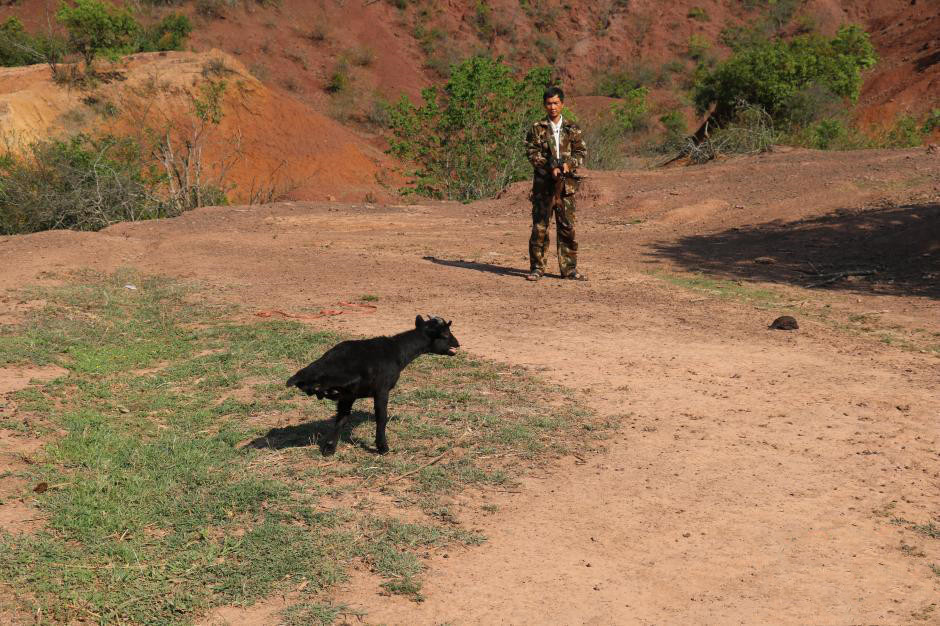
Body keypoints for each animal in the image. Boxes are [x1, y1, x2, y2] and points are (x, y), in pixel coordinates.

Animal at [286, 312, 462, 454]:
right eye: (445, 335)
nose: (457, 344)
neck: (397, 351)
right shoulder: (382, 390)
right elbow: (381, 417)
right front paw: (383, 447)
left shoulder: (349, 398)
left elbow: (342, 418)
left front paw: (329, 447)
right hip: (343, 378)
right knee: (322, 387)